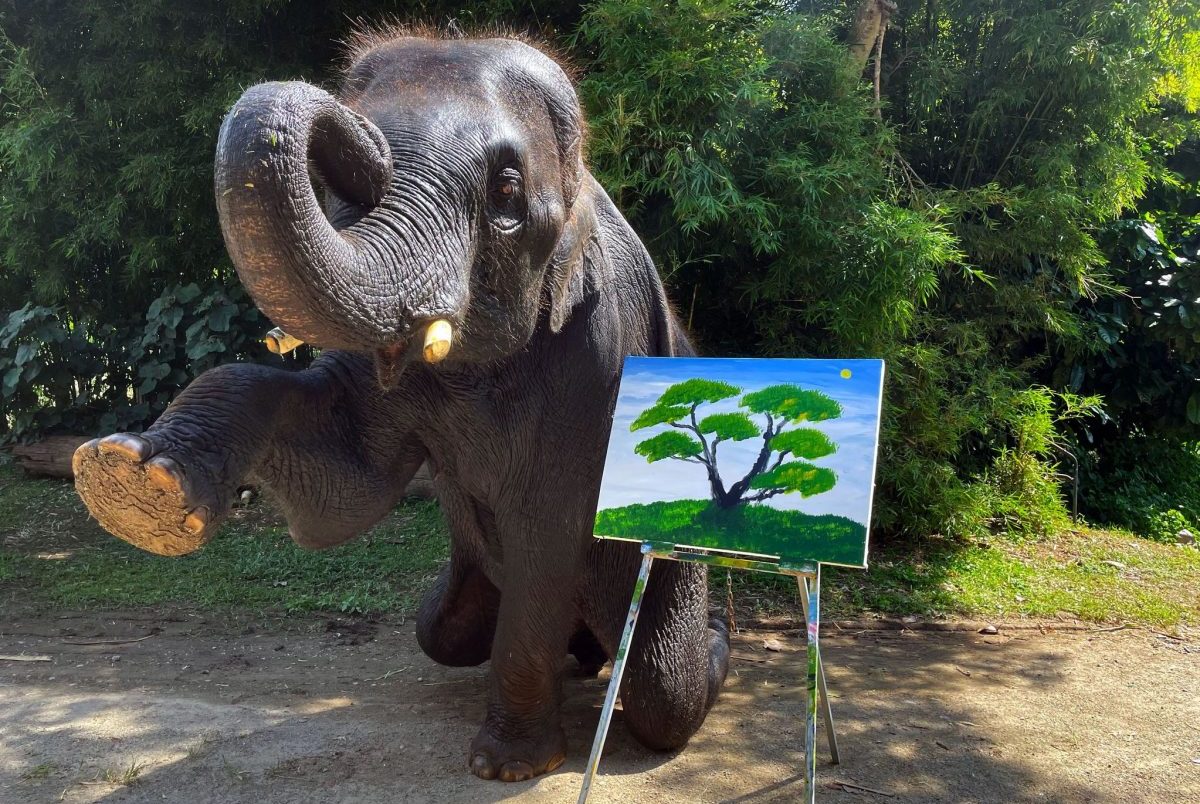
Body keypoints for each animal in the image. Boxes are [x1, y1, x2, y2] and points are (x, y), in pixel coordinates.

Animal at [72, 28, 730, 782]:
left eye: (506, 188)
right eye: (337, 188)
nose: (352, 132)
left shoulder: (596, 356)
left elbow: (549, 531)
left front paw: (505, 768)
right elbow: (346, 484)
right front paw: (133, 482)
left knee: (665, 692)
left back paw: (708, 640)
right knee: (436, 631)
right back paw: (584, 660)